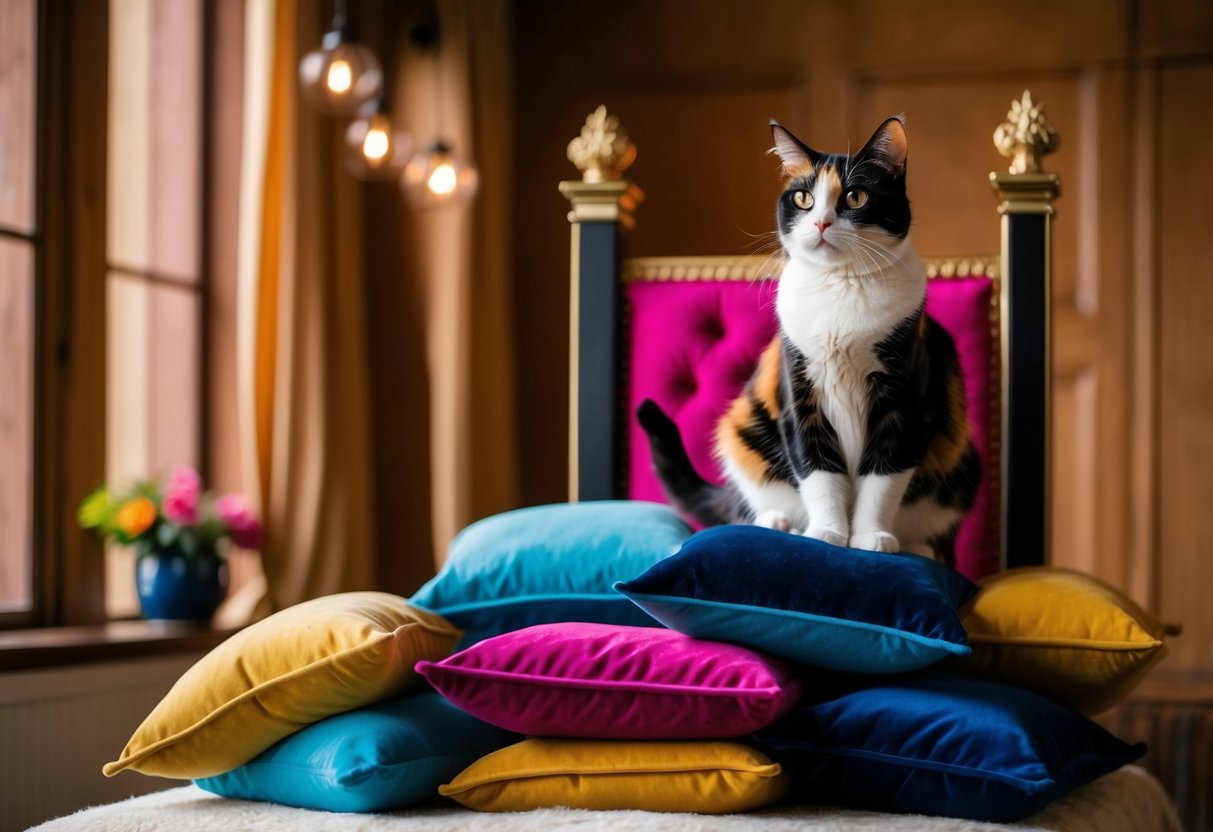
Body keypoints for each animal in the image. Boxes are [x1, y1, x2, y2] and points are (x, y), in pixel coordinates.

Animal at [640, 117, 980, 567]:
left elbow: (883, 477)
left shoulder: (905, 400)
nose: (820, 223)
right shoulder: (800, 391)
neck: (842, 285)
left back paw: (917, 547)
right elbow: (818, 469)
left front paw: (870, 536)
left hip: (963, 460)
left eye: (855, 196)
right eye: (803, 198)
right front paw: (828, 534)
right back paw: (778, 523)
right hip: (744, 431)